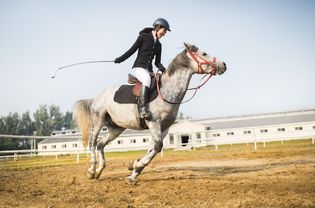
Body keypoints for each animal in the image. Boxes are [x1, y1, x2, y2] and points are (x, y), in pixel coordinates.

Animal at [74, 42, 227, 184]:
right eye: (204, 53)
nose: (224, 65)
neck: (167, 92)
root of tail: (97, 96)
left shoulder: (164, 128)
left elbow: (152, 148)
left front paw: (134, 169)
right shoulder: (154, 123)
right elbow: (157, 147)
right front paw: (136, 169)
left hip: (116, 128)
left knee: (100, 144)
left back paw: (99, 171)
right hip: (98, 120)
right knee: (93, 143)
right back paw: (91, 170)